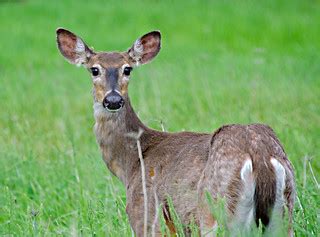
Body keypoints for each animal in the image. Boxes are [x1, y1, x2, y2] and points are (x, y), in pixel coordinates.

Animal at [55, 27, 296, 235]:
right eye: (94, 69)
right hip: (284, 212)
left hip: (215, 212)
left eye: (127, 69)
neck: (132, 161)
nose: (113, 100)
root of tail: (259, 156)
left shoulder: (145, 213)